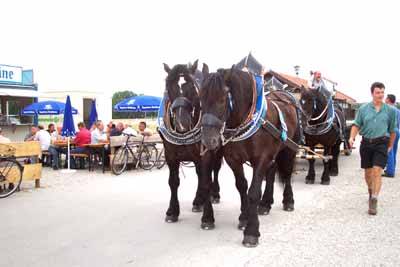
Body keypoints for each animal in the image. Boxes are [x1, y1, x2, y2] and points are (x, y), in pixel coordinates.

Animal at [161, 61, 223, 224]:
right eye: (169, 88)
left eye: (193, 90)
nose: (182, 123)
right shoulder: (170, 155)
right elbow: (173, 182)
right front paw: (172, 211)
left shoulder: (205, 154)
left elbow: (206, 180)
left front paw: (207, 217)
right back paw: (198, 201)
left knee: (214, 170)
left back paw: (213, 195)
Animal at [200, 65, 300, 249]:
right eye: (200, 98)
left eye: (223, 98)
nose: (208, 140)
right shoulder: (234, 159)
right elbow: (242, 186)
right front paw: (244, 217)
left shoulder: (261, 158)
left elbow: (253, 192)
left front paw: (252, 231)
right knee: (271, 173)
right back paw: (265, 204)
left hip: (290, 148)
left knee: (288, 173)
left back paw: (288, 201)